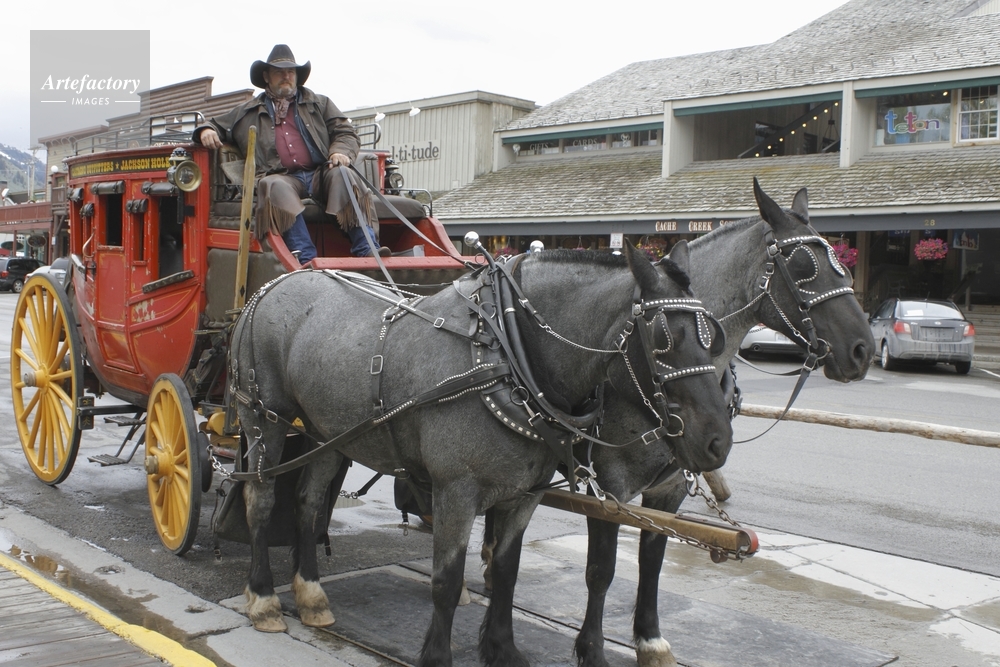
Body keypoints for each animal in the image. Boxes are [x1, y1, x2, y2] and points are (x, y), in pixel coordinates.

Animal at [228, 241, 735, 667]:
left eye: (713, 338)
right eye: (663, 338)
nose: (718, 440)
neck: (510, 351)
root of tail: (278, 284)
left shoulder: (525, 493)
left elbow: (506, 571)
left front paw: (502, 649)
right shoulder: (456, 490)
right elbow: (447, 581)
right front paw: (437, 657)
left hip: (326, 432)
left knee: (308, 503)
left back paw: (311, 595)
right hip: (265, 417)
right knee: (261, 500)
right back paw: (264, 598)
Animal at [481, 179, 875, 667]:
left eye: (843, 263)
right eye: (804, 267)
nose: (863, 350)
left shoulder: (669, 486)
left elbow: (653, 557)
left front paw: (650, 639)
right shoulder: (609, 486)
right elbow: (601, 569)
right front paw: (591, 647)